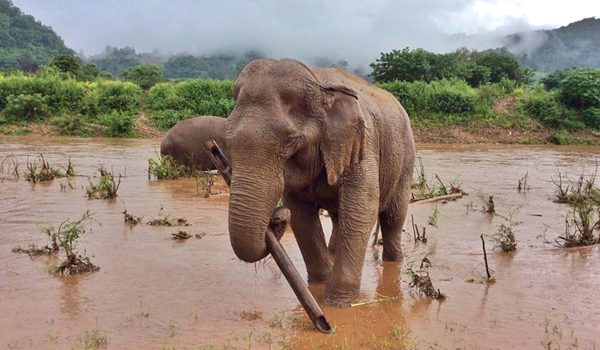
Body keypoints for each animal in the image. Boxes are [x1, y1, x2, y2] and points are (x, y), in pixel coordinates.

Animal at [223, 59, 414, 306]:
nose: (276, 218)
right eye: (227, 140)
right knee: (338, 216)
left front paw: (338, 303)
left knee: (393, 215)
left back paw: (394, 260)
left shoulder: (364, 143)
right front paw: (319, 283)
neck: (319, 84)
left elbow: (362, 208)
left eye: (291, 141)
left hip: (405, 156)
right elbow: (300, 213)